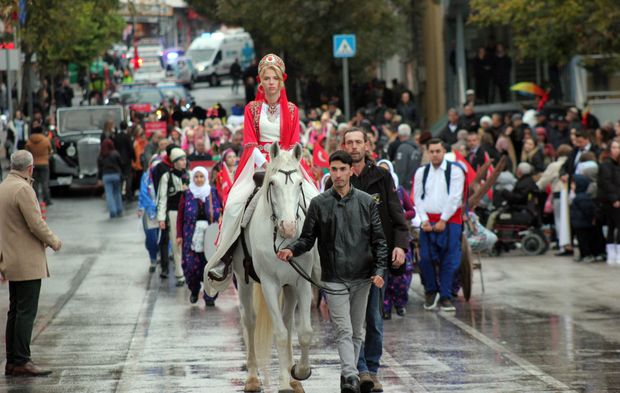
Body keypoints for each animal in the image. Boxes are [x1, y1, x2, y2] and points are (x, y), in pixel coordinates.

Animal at [232, 143, 320, 392]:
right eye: (272, 183)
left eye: (299, 183)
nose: (289, 227)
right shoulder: (269, 284)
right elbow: (279, 334)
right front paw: (283, 383)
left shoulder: (302, 282)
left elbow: (304, 332)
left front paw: (299, 372)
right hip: (243, 280)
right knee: (250, 321)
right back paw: (252, 378)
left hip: (289, 286)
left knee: (288, 321)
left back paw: (292, 378)